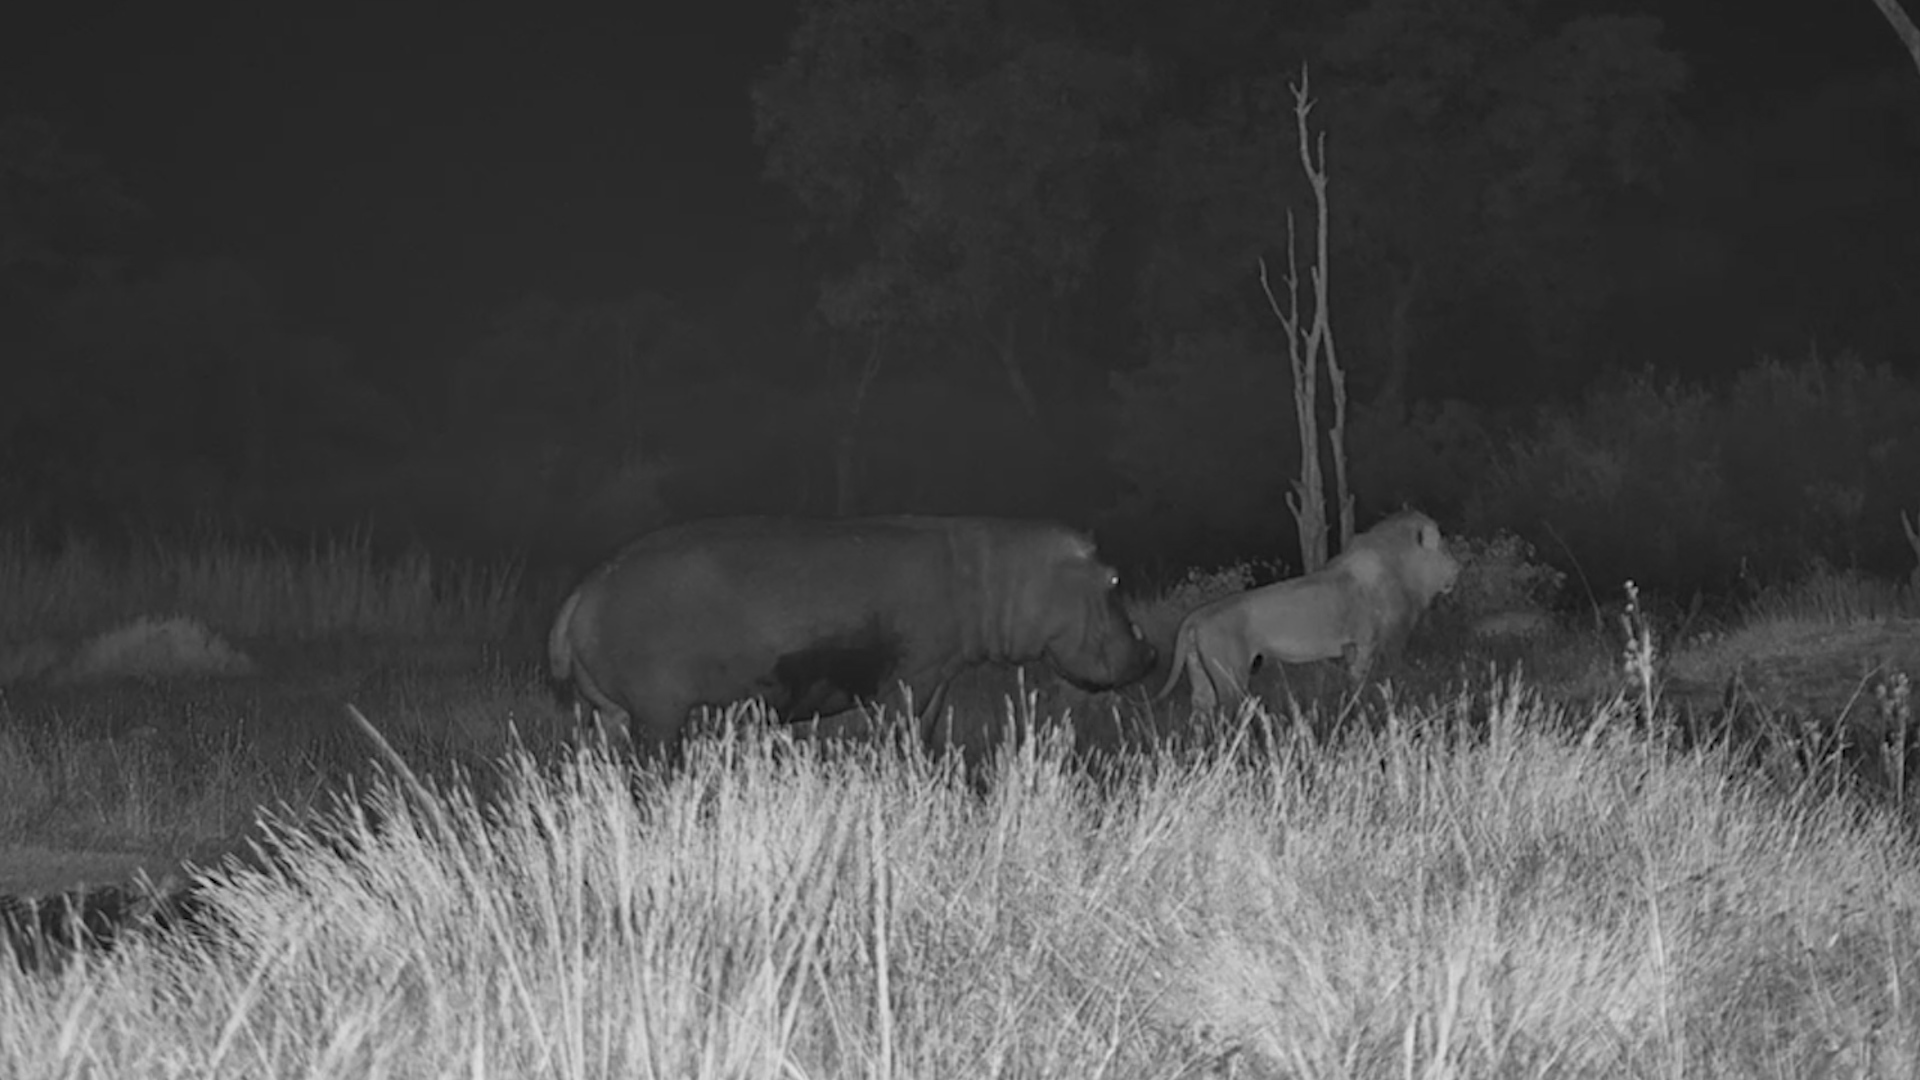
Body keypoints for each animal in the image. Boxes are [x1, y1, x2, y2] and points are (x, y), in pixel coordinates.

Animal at [1156, 510, 1461, 713]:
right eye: (1445, 549)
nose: (1457, 570)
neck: (1403, 568)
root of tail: (1195, 616)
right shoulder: (1377, 642)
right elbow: (1383, 678)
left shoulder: (1354, 647)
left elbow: (1355, 683)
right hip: (1232, 676)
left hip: (1201, 676)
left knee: (1201, 711)